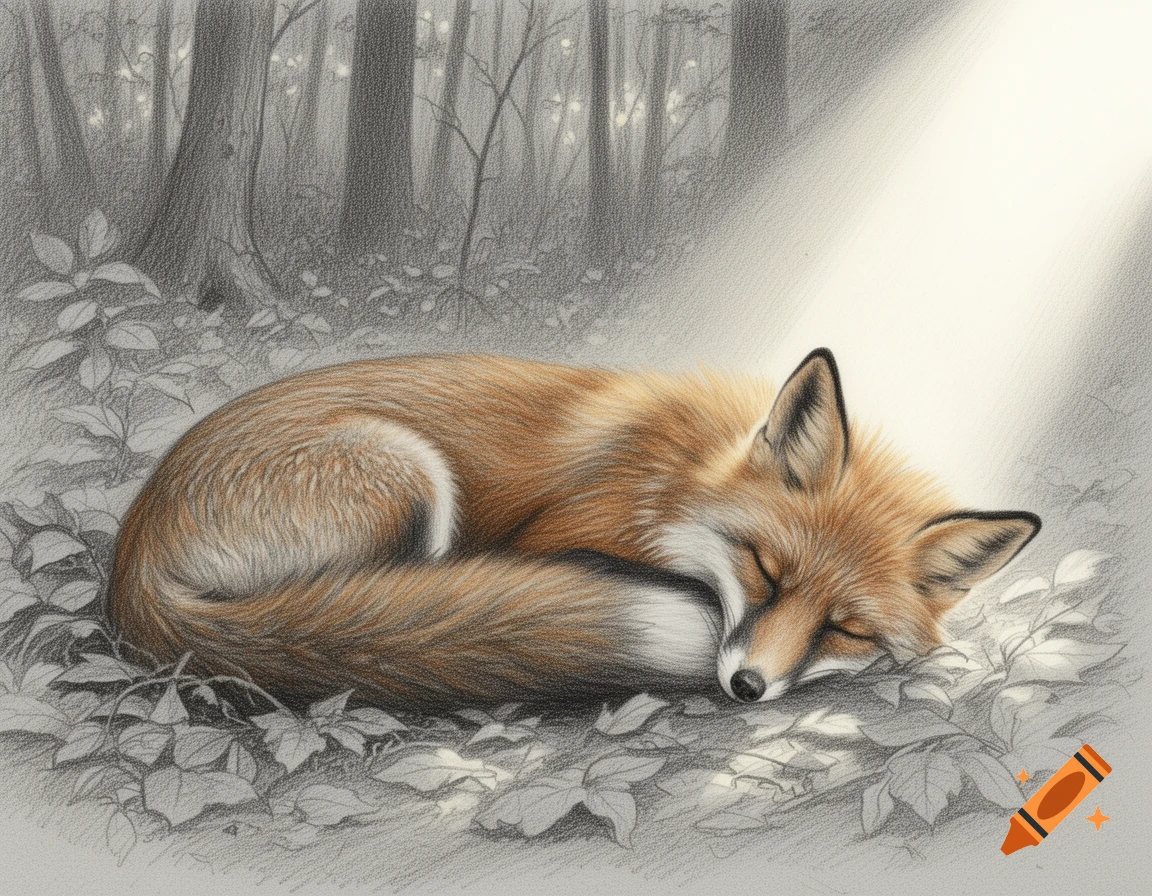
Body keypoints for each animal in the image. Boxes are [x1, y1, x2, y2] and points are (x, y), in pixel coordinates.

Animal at [107, 348, 1040, 707]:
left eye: (846, 629)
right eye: (765, 571)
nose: (745, 688)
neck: (673, 479)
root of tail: (131, 562)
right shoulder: (549, 539)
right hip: (408, 476)